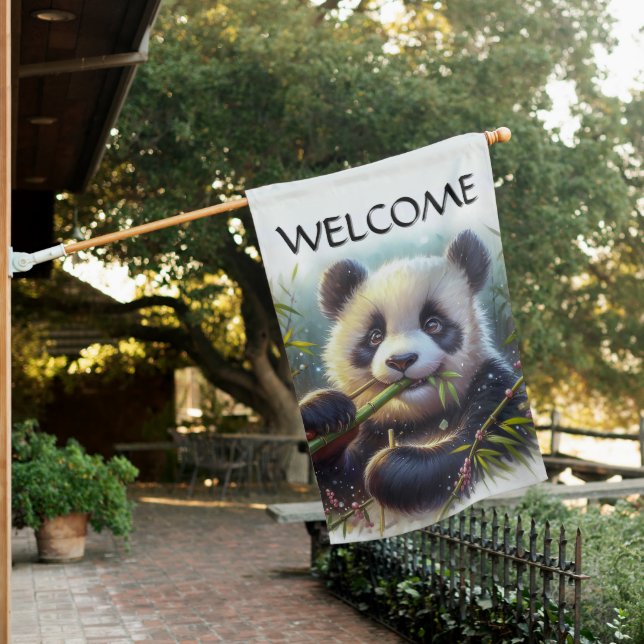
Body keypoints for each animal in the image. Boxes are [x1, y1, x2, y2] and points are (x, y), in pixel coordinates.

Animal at [301, 229, 537, 516]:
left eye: (432, 324)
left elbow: (475, 449)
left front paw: (388, 466)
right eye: (375, 336)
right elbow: (342, 487)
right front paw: (326, 412)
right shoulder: (376, 428)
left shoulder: (496, 393)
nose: (401, 361)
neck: (418, 416)